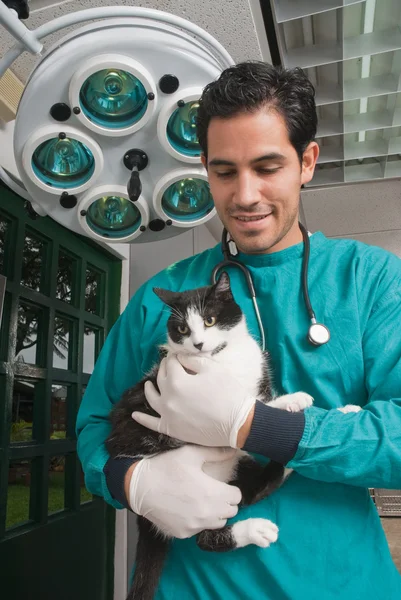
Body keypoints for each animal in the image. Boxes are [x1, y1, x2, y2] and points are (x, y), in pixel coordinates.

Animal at [106, 274, 360, 600]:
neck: (222, 356)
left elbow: (258, 403)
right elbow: (251, 406)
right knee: (206, 536)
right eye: (183, 329)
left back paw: (335, 420)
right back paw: (255, 530)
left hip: (237, 467)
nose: (198, 343)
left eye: (210, 320)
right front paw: (292, 400)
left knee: (259, 485)